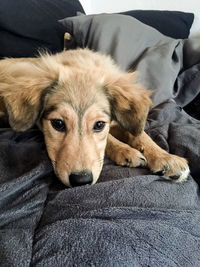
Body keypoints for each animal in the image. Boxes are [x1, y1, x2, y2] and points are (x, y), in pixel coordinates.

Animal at [0, 48, 189, 187]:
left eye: (99, 125)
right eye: (58, 124)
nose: (81, 181)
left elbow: (140, 134)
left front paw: (166, 158)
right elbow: (111, 140)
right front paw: (126, 151)